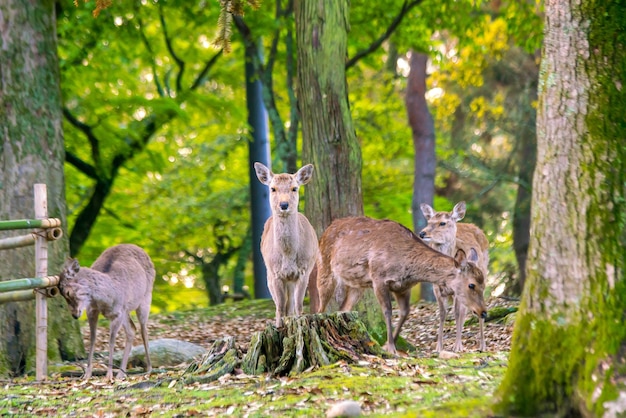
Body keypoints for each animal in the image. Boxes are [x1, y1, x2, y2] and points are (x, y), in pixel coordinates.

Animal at [57, 243, 155, 380]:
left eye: (68, 292)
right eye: (61, 294)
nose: (75, 315)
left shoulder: (118, 313)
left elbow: (111, 341)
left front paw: (108, 375)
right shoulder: (92, 310)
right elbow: (92, 339)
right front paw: (87, 374)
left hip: (146, 297)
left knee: (143, 330)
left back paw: (149, 369)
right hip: (126, 310)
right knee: (132, 329)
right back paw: (121, 373)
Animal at [252, 162, 316, 328]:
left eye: (295, 188)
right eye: (272, 188)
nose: (284, 204)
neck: (287, 254)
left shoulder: (304, 271)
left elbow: (298, 305)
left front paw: (299, 322)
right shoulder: (275, 273)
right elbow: (280, 305)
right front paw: (278, 326)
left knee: (291, 303)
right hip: (269, 276)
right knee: (282, 303)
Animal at [314, 216, 486, 356]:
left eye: (484, 284)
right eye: (471, 285)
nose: (483, 312)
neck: (406, 266)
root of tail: (327, 229)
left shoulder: (403, 287)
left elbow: (404, 313)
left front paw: (387, 345)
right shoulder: (378, 278)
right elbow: (388, 311)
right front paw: (391, 348)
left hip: (357, 285)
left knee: (343, 308)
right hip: (324, 267)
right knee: (319, 307)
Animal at [416, 201, 490, 352]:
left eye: (442, 223)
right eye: (429, 221)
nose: (422, 233)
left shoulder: (459, 289)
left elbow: (457, 313)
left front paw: (457, 346)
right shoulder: (436, 288)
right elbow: (442, 314)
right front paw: (439, 347)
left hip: (483, 273)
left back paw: (482, 345)